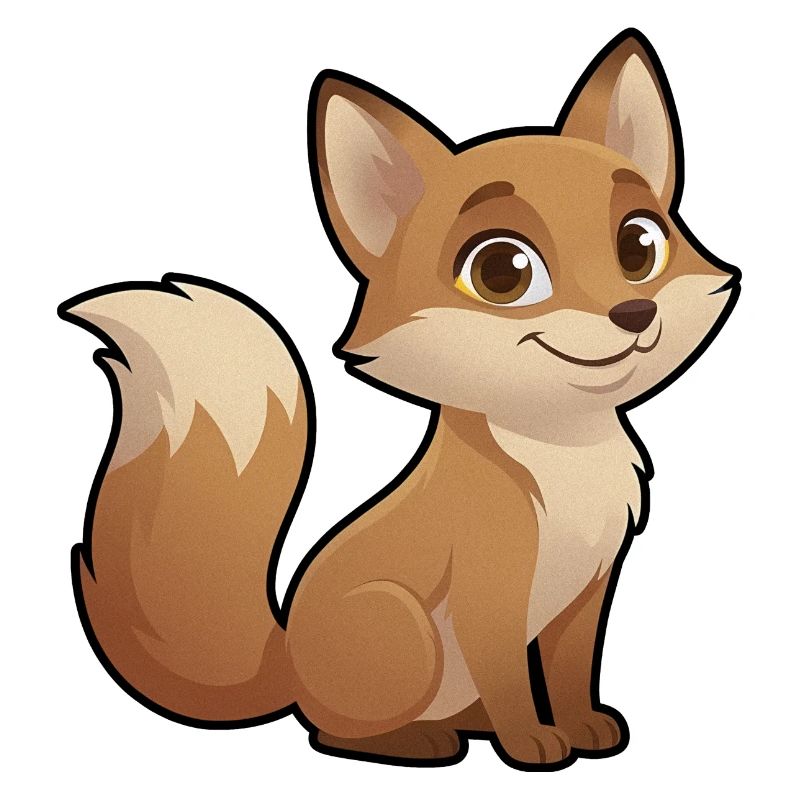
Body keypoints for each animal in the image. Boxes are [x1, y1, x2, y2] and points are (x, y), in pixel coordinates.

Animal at [59, 30, 739, 771]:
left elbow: (567, 672)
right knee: (334, 730)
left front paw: (582, 727)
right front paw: (532, 743)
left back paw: (469, 727)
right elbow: (512, 679)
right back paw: (420, 741)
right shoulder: (489, 595)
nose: (634, 312)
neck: (562, 454)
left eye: (640, 245)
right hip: (402, 627)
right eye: (502, 271)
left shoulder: (588, 591)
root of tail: (289, 660)